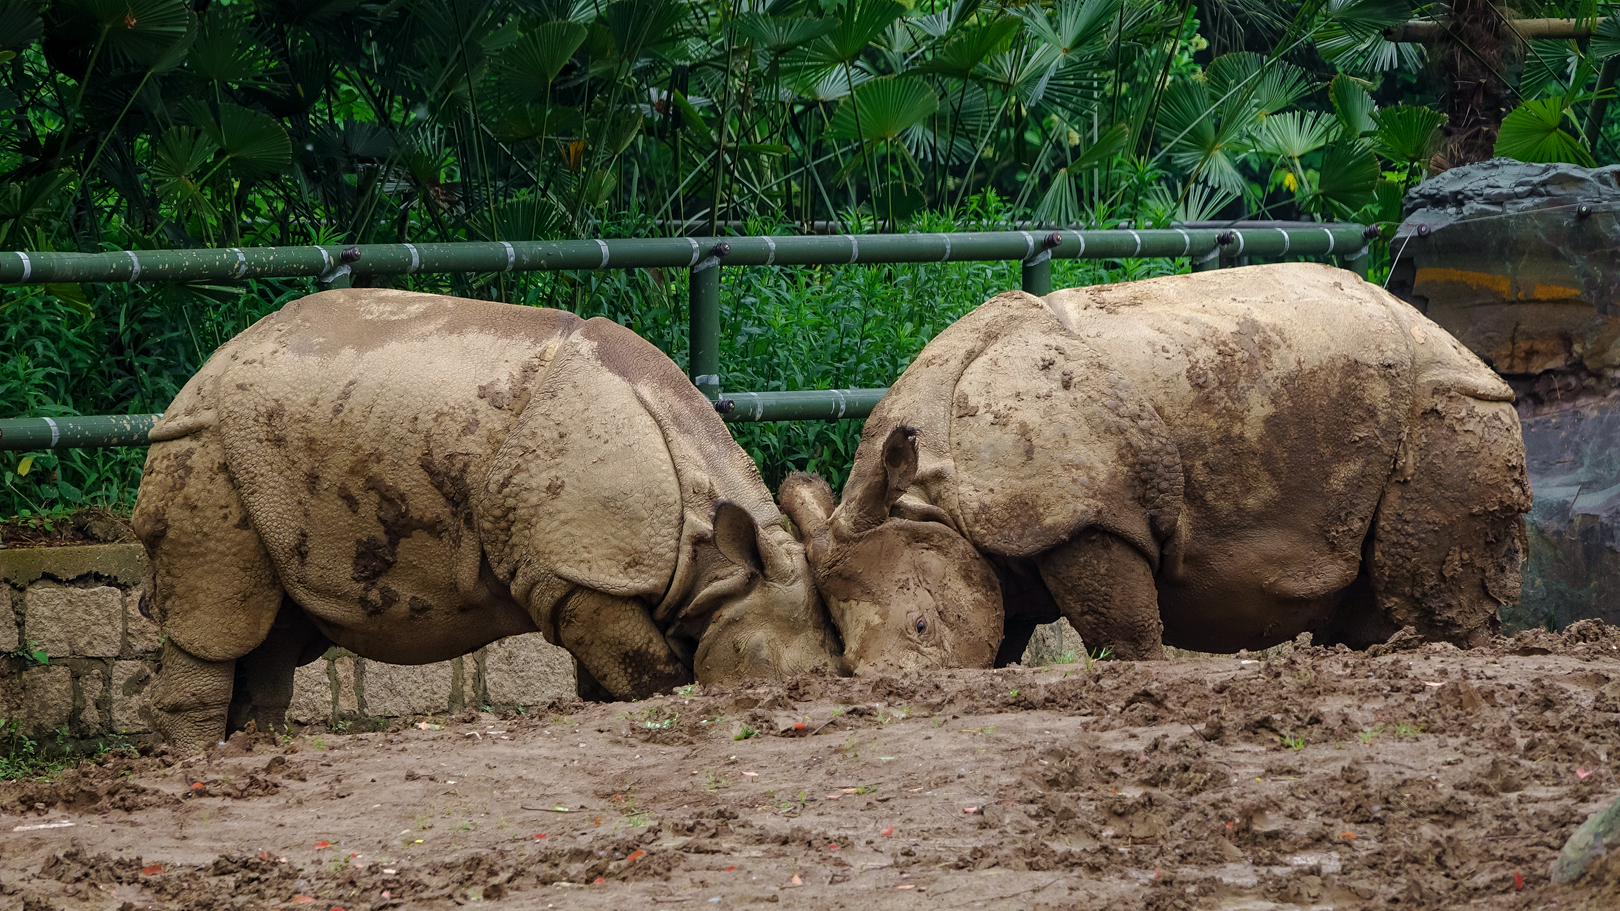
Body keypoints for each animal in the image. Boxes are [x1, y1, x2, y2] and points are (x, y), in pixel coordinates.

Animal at [132, 289, 841, 754]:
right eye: (757, 664)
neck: (713, 555)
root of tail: (202, 372)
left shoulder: (591, 575)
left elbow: (613, 671)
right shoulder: (571, 576)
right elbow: (648, 673)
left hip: (263, 451)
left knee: (275, 627)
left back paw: (259, 745)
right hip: (204, 444)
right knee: (219, 611)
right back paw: (201, 760)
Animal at [781, 263, 1530, 673]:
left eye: (920, 628)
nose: (886, 689)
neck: (929, 488)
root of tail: (1466, 350)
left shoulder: (1082, 512)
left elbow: (1120, 628)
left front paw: (1141, 666)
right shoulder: (1009, 532)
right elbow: (1003, 628)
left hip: (1450, 403)